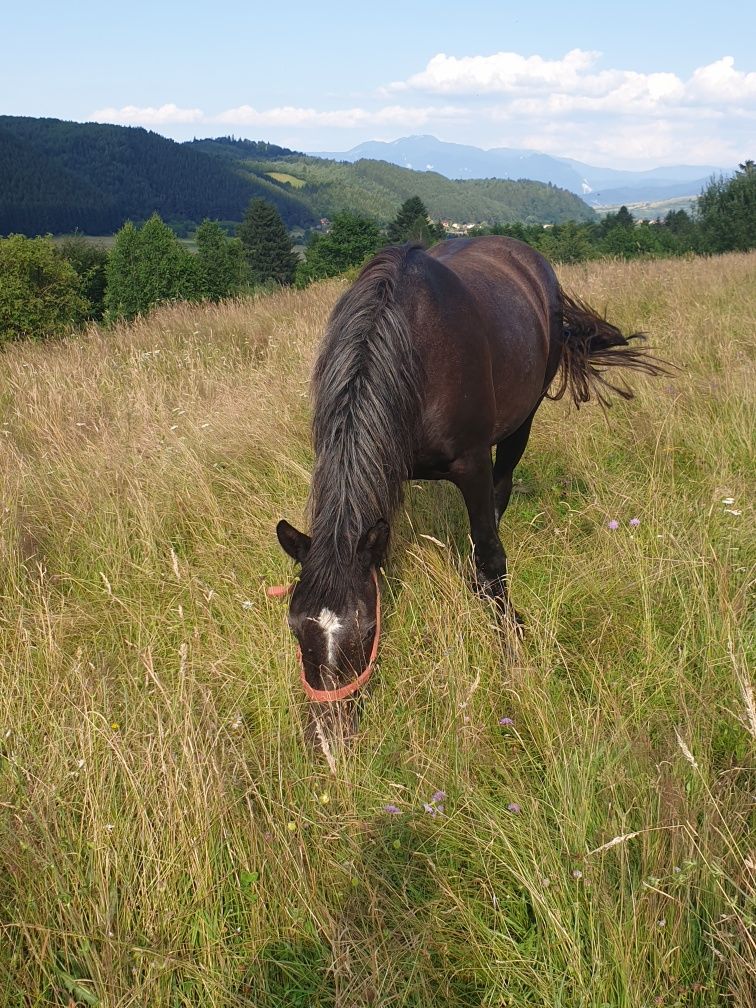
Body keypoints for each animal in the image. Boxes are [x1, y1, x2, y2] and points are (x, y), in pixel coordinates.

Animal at [276, 233, 665, 741]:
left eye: (365, 629)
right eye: (295, 626)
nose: (328, 737)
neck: (410, 350)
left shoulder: (473, 465)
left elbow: (492, 555)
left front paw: (511, 643)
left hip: (523, 419)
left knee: (502, 493)